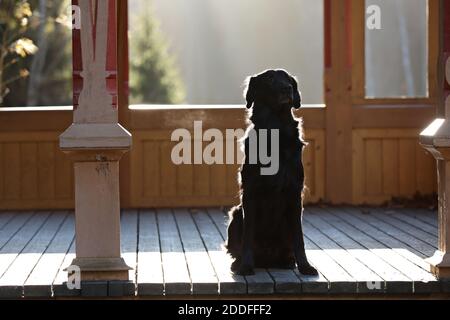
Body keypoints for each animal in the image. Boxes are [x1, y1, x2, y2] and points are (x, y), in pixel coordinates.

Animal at [227, 69, 318, 276]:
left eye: (288, 79)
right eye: (269, 79)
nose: (288, 88)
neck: (275, 130)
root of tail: (267, 258)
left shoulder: (295, 194)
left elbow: (299, 238)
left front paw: (305, 266)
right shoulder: (249, 193)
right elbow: (248, 237)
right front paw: (246, 266)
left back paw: (287, 261)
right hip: (236, 214)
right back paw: (238, 263)